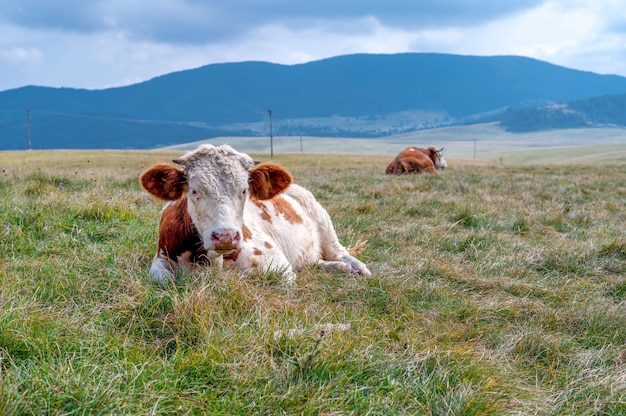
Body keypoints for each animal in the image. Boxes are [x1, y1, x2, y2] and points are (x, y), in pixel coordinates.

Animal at [140, 143, 370, 286]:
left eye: (244, 190)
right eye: (194, 190)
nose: (225, 236)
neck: (212, 261)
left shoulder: (278, 264)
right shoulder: (160, 259)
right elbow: (163, 279)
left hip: (323, 221)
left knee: (340, 253)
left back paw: (358, 269)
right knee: (315, 262)